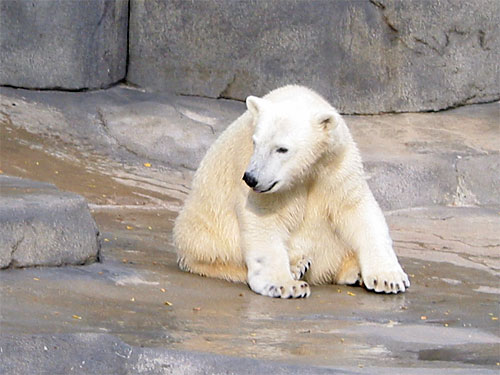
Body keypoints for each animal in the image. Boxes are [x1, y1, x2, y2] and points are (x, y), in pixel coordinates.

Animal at [173, 85, 410, 300]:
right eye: (255, 142)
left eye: (282, 149)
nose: (251, 178)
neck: (306, 172)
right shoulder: (262, 178)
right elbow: (264, 221)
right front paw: (286, 286)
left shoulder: (336, 164)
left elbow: (358, 209)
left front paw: (388, 279)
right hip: (202, 233)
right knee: (213, 255)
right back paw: (297, 267)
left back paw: (351, 270)